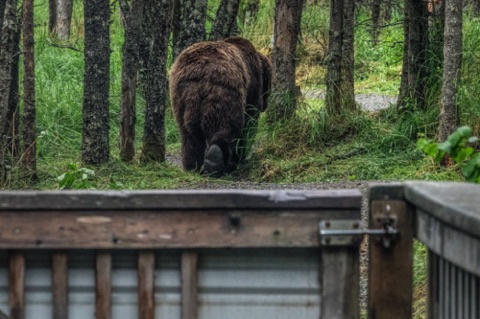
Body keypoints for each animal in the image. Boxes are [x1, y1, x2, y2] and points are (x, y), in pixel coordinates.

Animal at [169, 38, 270, 178]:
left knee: (189, 135)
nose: (265, 106)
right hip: (225, 91)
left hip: (182, 95)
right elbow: (249, 124)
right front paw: (242, 158)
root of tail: (202, 73)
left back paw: (192, 166)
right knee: (225, 126)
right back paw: (215, 161)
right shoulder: (253, 87)